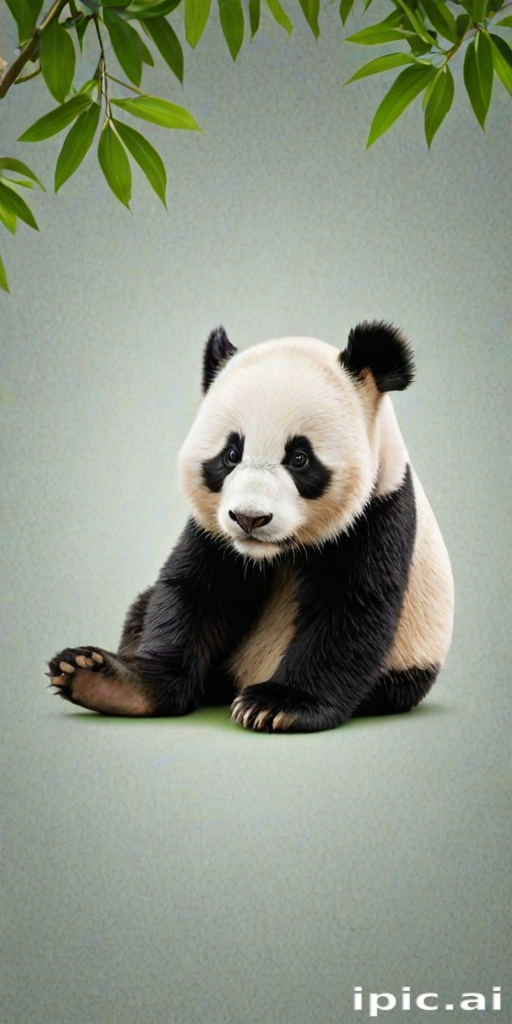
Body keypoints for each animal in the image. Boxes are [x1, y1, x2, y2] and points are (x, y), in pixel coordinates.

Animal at [47, 322, 454, 733]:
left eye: (299, 458)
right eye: (231, 454)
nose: (249, 518)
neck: (271, 553)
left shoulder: (379, 511)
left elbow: (350, 606)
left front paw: (277, 705)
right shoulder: (214, 533)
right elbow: (196, 592)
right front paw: (112, 682)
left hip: (410, 655)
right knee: (142, 610)